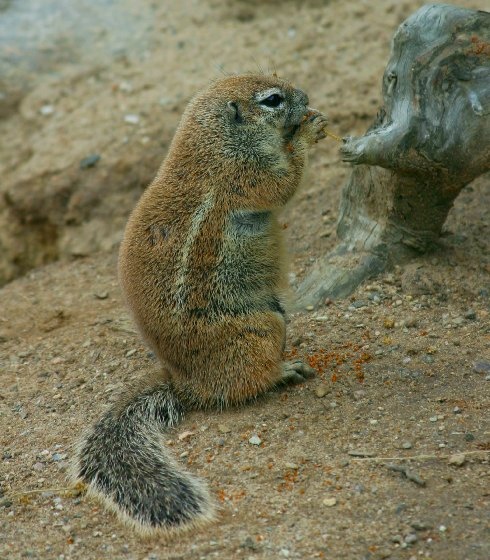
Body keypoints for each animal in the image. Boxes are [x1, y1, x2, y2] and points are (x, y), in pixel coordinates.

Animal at [74, 73, 328, 532]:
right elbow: (283, 184)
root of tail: (185, 384)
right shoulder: (247, 175)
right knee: (248, 382)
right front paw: (308, 130)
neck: (216, 145)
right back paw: (284, 370)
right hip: (261, 328)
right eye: (273, 100)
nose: (305, 97)